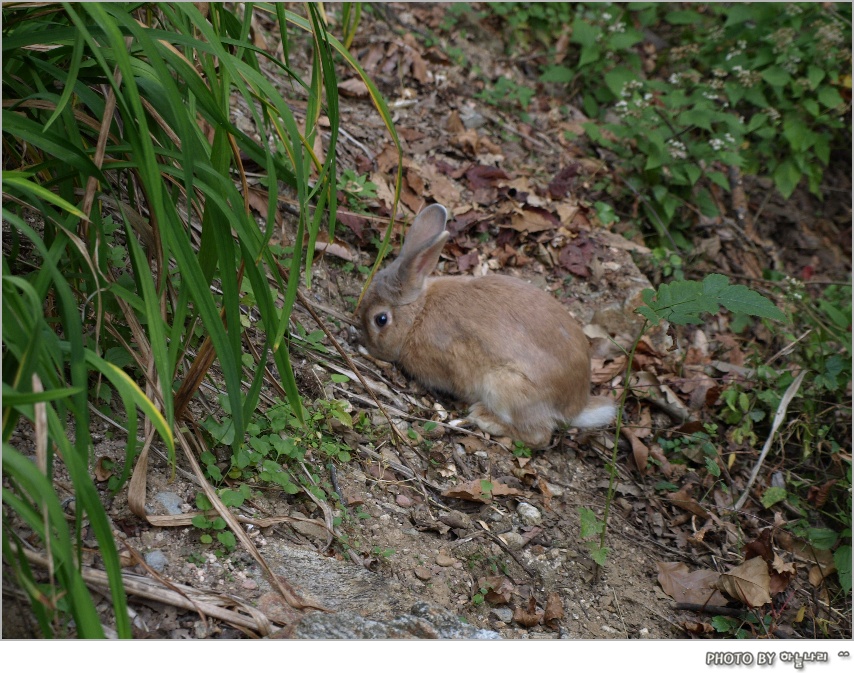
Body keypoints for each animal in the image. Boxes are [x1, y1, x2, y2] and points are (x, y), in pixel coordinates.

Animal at [358, 203, 620, 446]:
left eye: (380, 320)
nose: (367, 343)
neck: (417, 314)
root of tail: (575, 407)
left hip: (505, 389)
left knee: (539, 436)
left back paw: (485, 419)